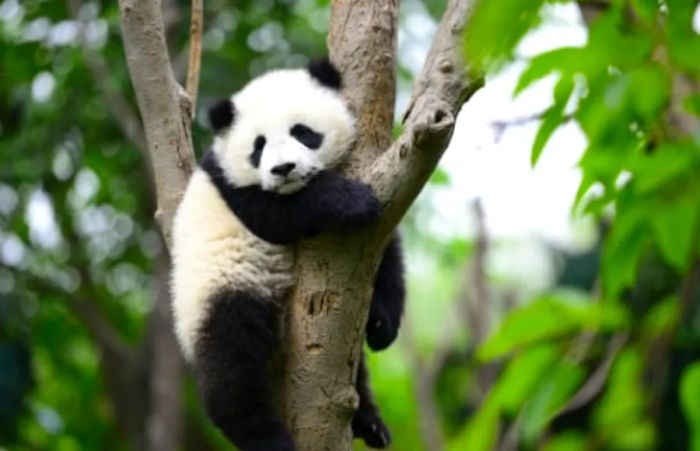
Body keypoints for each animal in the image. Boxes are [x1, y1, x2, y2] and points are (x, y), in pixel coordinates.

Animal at [170, 60, 408, 451]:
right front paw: (350, 200)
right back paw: (269, 438)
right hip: (222, 289)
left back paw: (370, 423)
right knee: (231, 366)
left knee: (351, 368)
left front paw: (380, 323)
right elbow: (281, 214)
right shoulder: (236, 191)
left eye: (303, 132)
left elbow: (385, 254)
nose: (283, 169)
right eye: (258, 146)